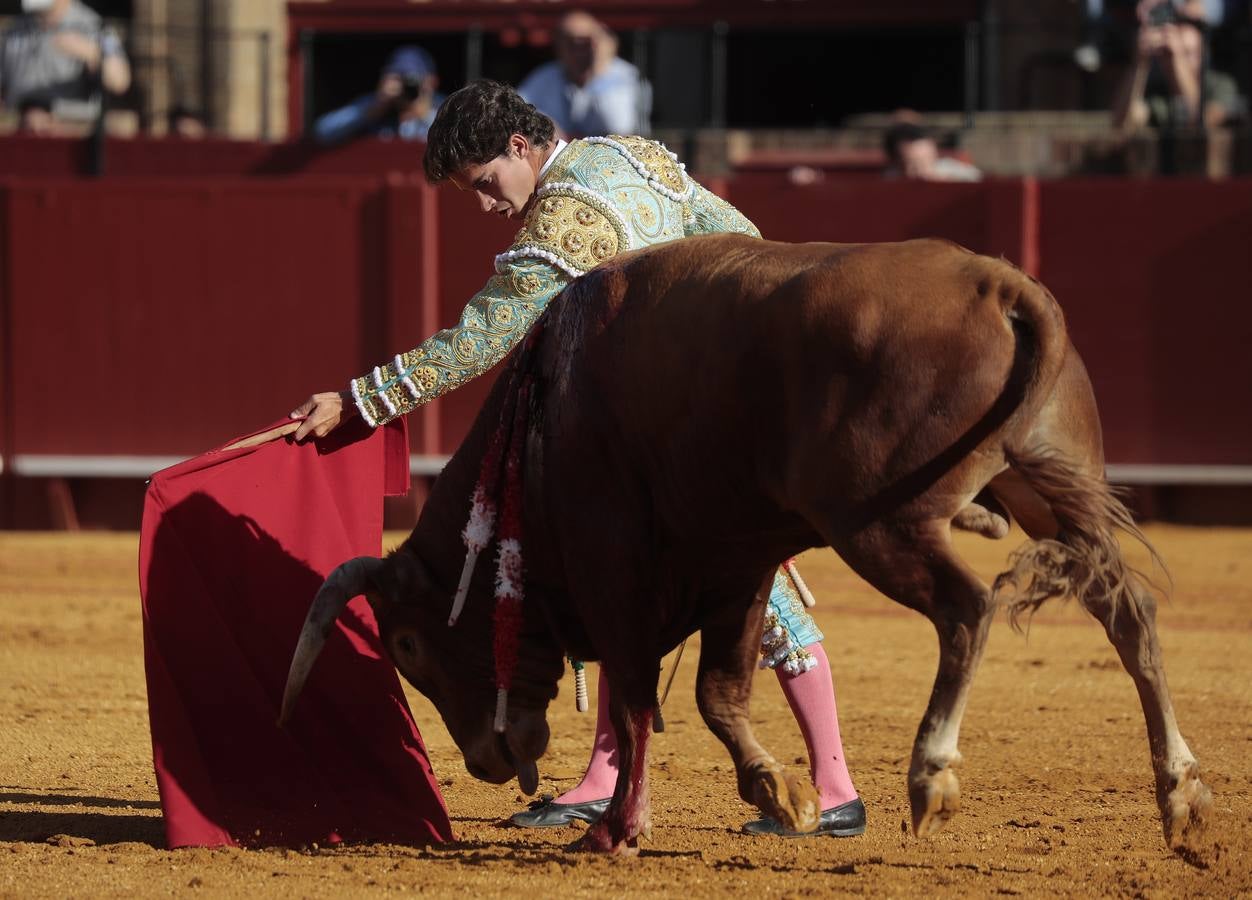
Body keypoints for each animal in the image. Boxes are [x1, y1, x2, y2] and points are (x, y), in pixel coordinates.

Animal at [279, 232, 1206, 851]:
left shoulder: (616, 569)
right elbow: (715, 694)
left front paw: (618, 830)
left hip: (878, 522)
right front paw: (780, 795)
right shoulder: (739, 562)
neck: (539, 427)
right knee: (1130, 615)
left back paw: (931, 772)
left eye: (406, 643)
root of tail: (1002, 285)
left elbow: (635, 698)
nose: (483, 764)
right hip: (1054, 487)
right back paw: (1181, 795)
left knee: (967, 607)